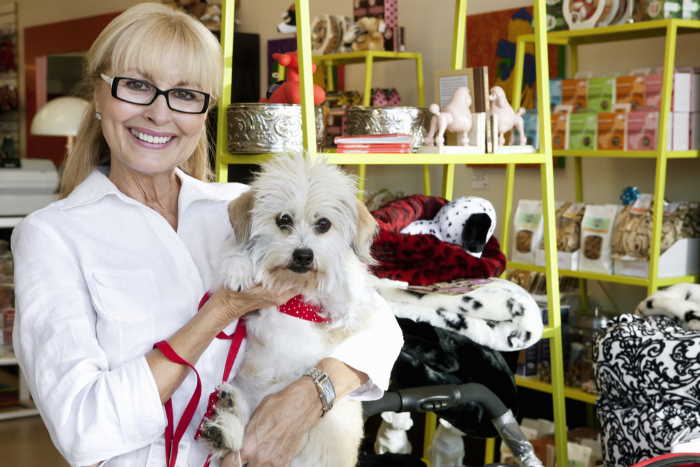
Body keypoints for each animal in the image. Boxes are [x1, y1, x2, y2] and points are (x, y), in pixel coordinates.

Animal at [200, 156, 380, 467]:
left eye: (323, 224)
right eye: (283, 220)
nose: (304, 255)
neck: (295, 292)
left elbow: (349, 278)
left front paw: (344, 278)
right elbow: (236, 256)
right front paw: (240, 267)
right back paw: (226, 423)